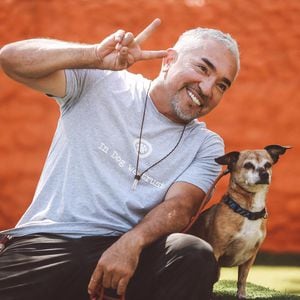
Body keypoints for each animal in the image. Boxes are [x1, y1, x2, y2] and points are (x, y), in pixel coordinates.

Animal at [190, 145, 290, 298]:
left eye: (268, 165)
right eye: (248, 165)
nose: (264, 174)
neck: (247, 212)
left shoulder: (250, 257)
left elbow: (242, 279)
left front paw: (241, 295)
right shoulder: (216, 251)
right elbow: (212, 278)